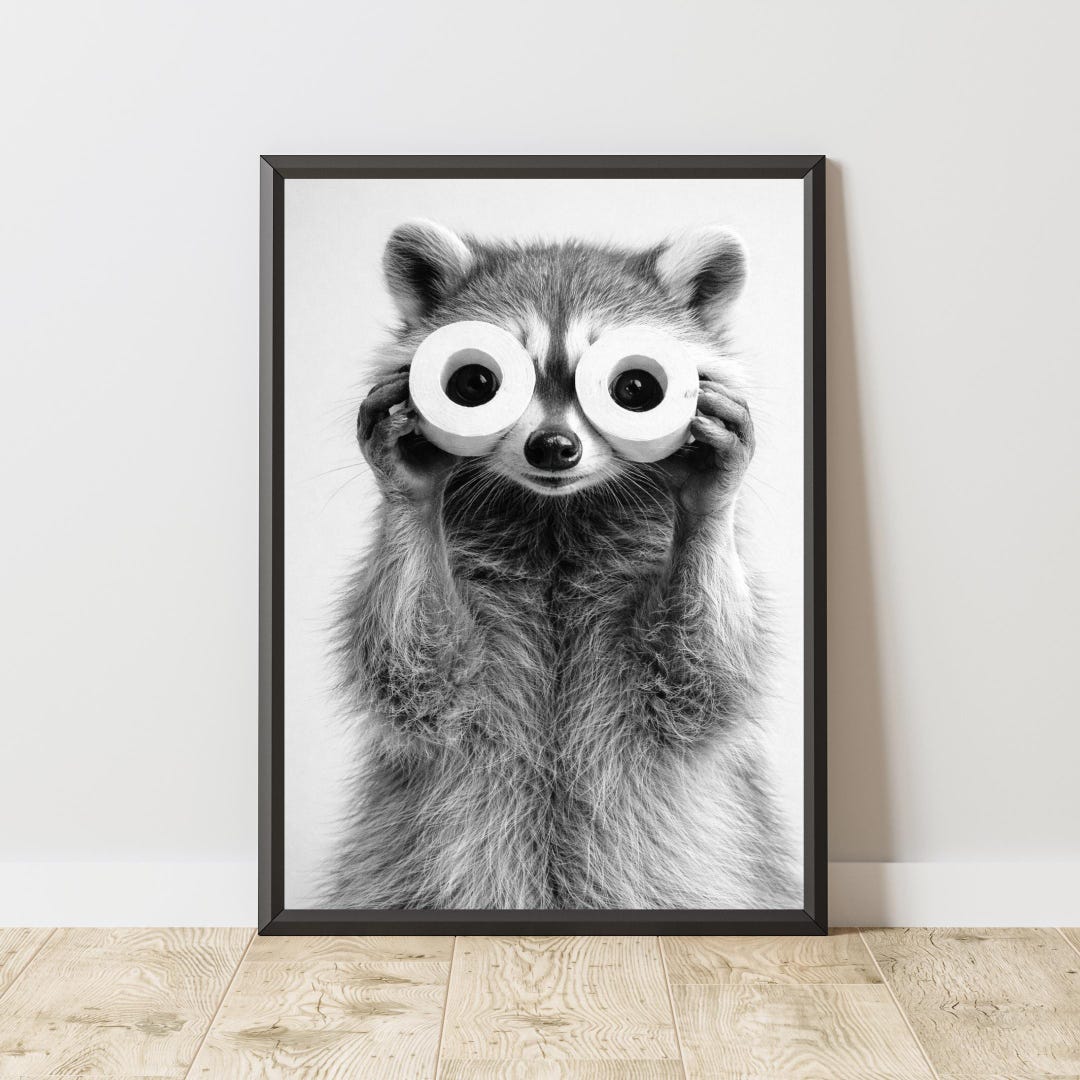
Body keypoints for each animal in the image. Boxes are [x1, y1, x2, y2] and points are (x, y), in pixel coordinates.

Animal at [324, 219, 801, 909]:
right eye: (477, 384)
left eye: (635, 390)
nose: (553, 447)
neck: (558, 513)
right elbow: (418, 675)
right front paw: (411, 490)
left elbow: (702, 679)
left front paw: (709, 499)